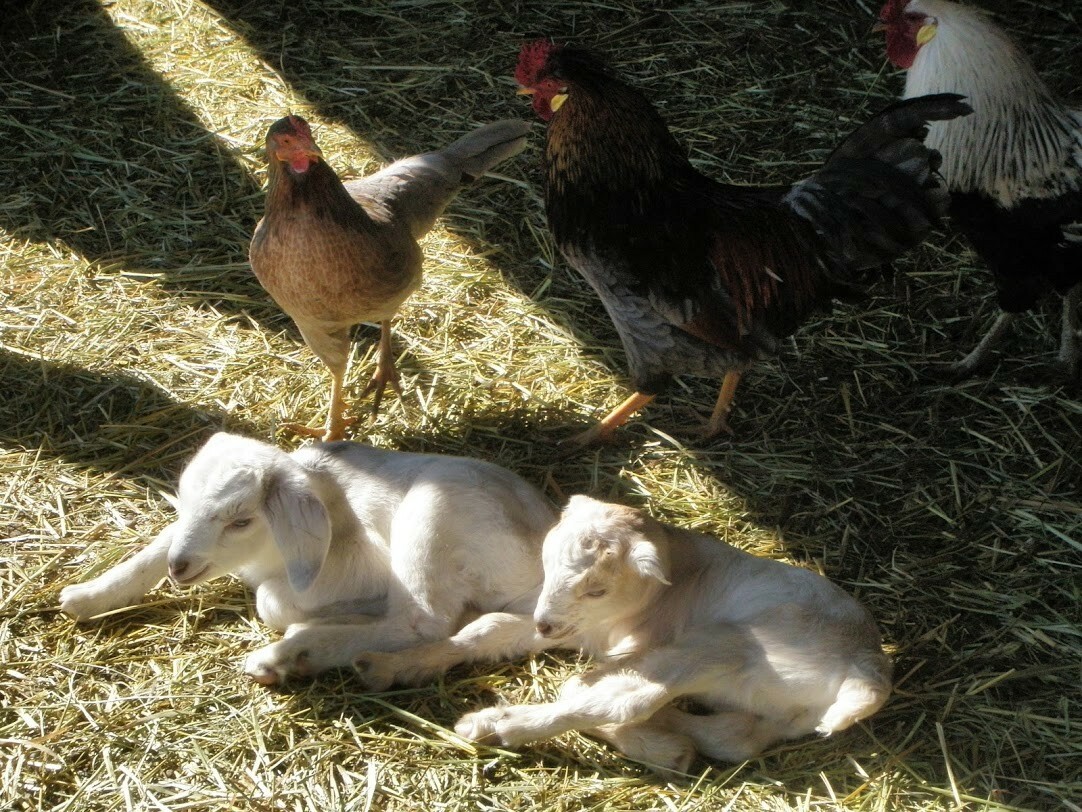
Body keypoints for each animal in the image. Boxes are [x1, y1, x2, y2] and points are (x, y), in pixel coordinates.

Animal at [59, 432, 555, 684]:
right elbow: (158, 544)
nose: (179, 568)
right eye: (183, 501)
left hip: (433, 512)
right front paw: (86, 596)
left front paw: (313, 623)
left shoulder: (363, 567)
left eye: (241, 520)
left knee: (425, 621)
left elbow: (270, 601)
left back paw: (295, 652)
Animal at [354, 495, 891, 773]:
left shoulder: (625, 638)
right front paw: (387, 665)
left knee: (619, 699)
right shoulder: (586, 630)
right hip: (779, 711)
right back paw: (671, 740)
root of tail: (865, 666)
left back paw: (497, 725)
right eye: (547, 561)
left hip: (730, 642)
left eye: (597, 587)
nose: (544, 622)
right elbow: (486, 630)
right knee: (730, 737)